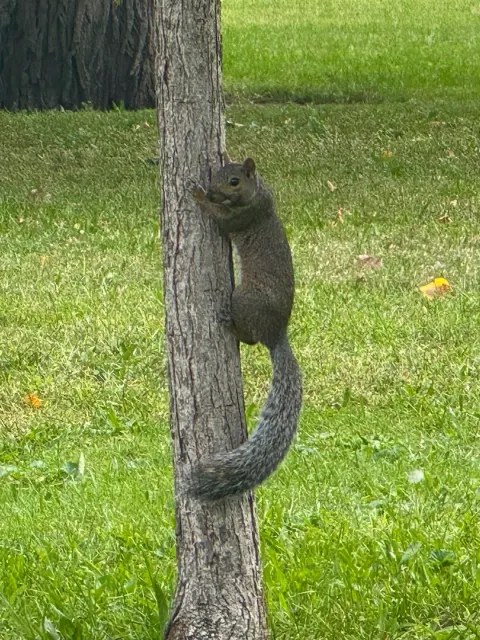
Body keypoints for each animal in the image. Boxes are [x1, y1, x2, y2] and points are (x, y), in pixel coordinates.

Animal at [190, 157, 303, 500]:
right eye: (217, 173)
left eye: (234, 181)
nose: (213, 191)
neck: (259, 193)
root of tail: (276, 334)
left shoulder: (240, 218)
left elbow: (219, 220)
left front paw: (198, 196)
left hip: (243, 297)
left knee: (249, 338)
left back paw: (229, 323)